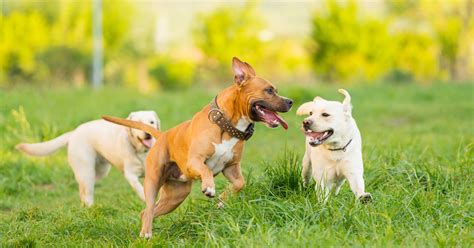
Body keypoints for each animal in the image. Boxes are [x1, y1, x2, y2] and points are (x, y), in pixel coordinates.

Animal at [15, 111, 160, 206]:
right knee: (87, 192)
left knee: (83, 189)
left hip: (99, 172)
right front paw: (146, 199)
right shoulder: (130, 175)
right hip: (86, 170)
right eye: (137, 123)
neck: (142, 152)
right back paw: (90, 209)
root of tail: (73, 132)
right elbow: (139, 188)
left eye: (152, 122)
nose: (148, 133)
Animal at [103, 57, 292, 237]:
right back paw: (146, 233)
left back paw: (146, 232)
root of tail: (163, 135)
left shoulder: (232, 167)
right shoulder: (195, 161)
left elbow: (240, 183)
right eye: (269, 90)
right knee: (149, 207)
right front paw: (209, 188)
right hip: (153, 181)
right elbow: (206, 169)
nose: (290, 101)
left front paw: (222, 201)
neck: (226, 125)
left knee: (146, 212)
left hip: (175, 196)